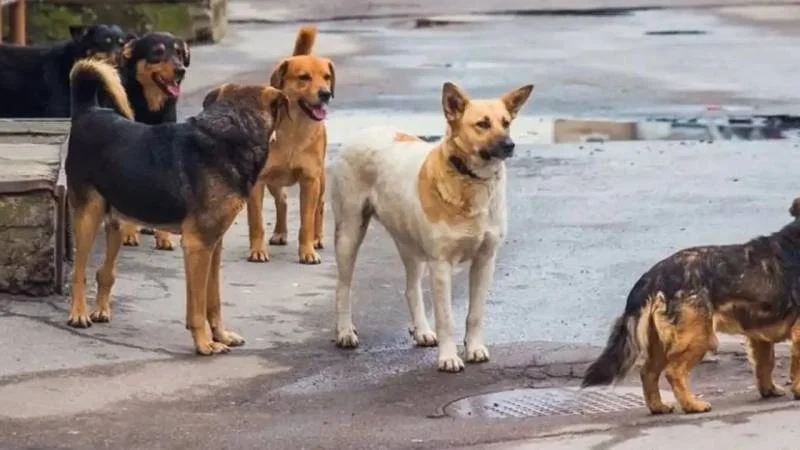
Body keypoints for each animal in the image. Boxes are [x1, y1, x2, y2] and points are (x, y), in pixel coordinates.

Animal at [108, 31, 193, 251]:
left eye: (179, 53)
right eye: (157, 52)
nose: (181, 71)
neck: (151, 108)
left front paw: (163, 237)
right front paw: (129, 233)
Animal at [244, 25, 334, 264]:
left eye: (327, 77)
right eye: (304, 77)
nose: (326, 94)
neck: (294, 131)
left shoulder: (310, 180)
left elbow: (306, 221)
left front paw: (307, 251)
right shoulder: (257, 182)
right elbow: (256, 222)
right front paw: (258, 250)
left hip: (320, 179)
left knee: (319, 207)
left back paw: (317, 238)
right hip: (274, 181)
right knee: (282, 200)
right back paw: (280, 232)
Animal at [328, 81, 536, 372]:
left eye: (506, 123)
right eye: (482, 124)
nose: (510, 145)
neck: (469, 179)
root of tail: (365, 130)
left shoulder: (485, 260)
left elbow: (475, 314)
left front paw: (474, 348)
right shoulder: (440, 265)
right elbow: (446, 318)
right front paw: (448, 357)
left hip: (410, 245)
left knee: (411, 288)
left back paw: (422, 330)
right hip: (349, 232)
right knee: (343, 287)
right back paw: (345, 331)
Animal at [580, 200, 800, 414]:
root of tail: (653, 276)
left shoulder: (759, 334)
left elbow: (765, 365)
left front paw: (769, 391)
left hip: (662, 342)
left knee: (648, 372)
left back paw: (658, 406)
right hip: (699, 337)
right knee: (673, 372)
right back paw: (692, 405)